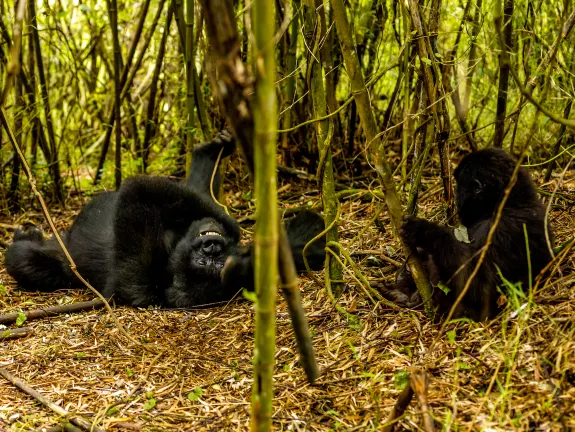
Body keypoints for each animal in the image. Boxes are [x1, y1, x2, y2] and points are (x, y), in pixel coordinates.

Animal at [4, 132, 326, 308]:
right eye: (206, 258)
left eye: (213, 264)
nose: (212, 248)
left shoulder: (140, 278)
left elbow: (138, 189)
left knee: (24, 261)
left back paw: (24, 239)